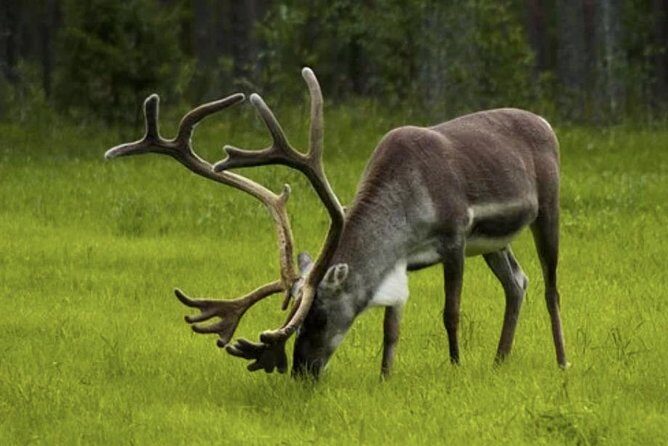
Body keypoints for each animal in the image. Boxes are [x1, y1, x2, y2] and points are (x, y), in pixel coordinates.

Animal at [105, 67, 567, 379]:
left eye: (321, 317)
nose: (302, 372)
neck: (409, 210)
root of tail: (546, 122)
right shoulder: (403, 260)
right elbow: (391, 326)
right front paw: (385, 377)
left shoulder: (455, 234)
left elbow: (450, 312)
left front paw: (454, 367)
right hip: (495, 243)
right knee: (517, 282)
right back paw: (500, 360)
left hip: (548, 205)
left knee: (549, 287)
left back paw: (562, 361)